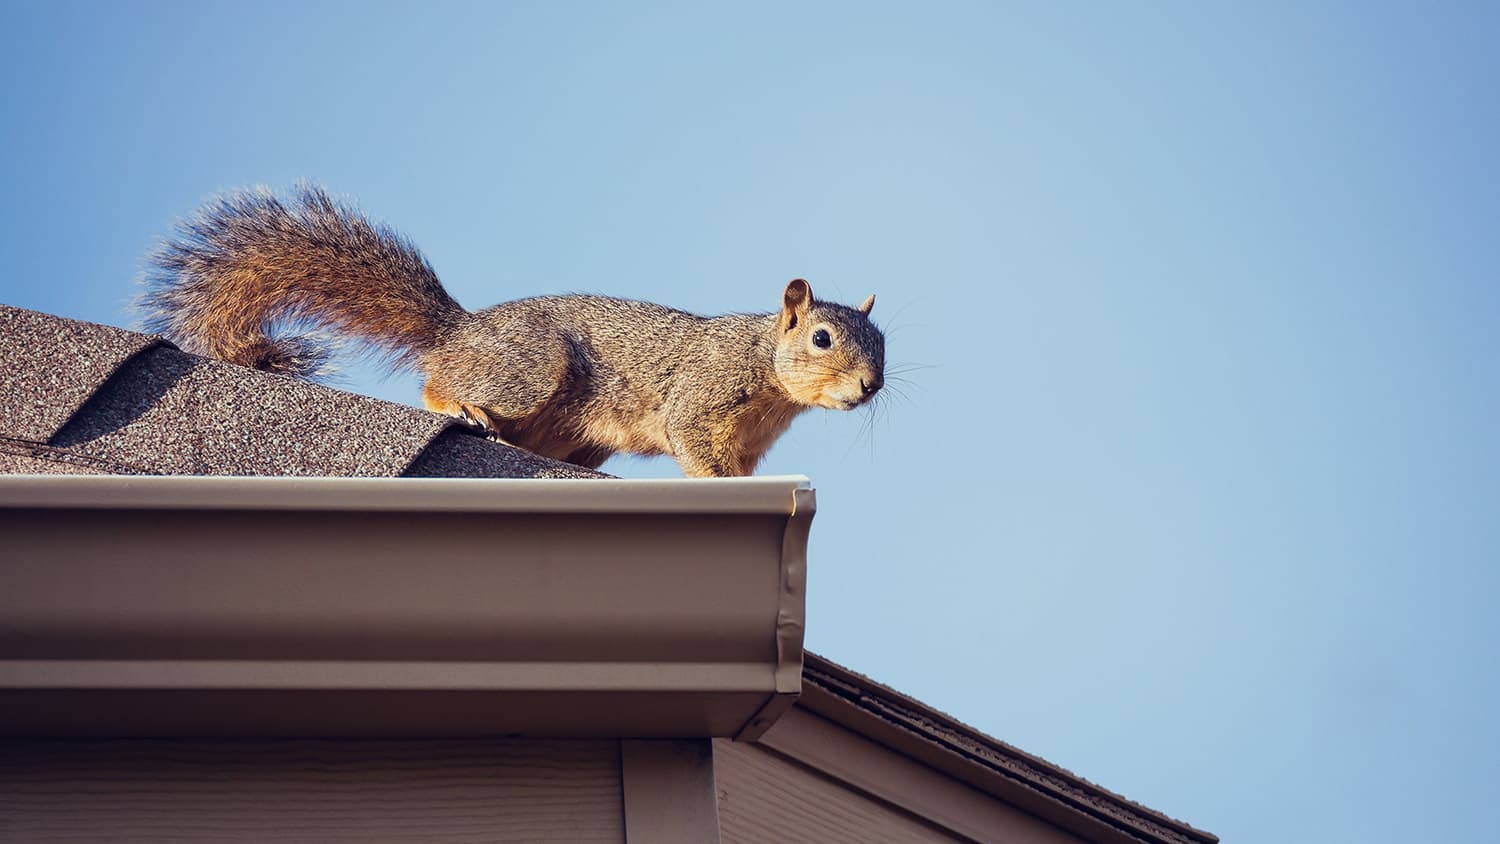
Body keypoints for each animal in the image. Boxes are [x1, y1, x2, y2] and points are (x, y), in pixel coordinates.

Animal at [138, 185, 885, 477]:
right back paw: (462, 406)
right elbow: (692, 443)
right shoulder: (701, 397)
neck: (767, 371)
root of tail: (461, 330)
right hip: (530, 370)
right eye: (822, 338)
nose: (870, 386)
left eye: (883, 345)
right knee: (437, 383)